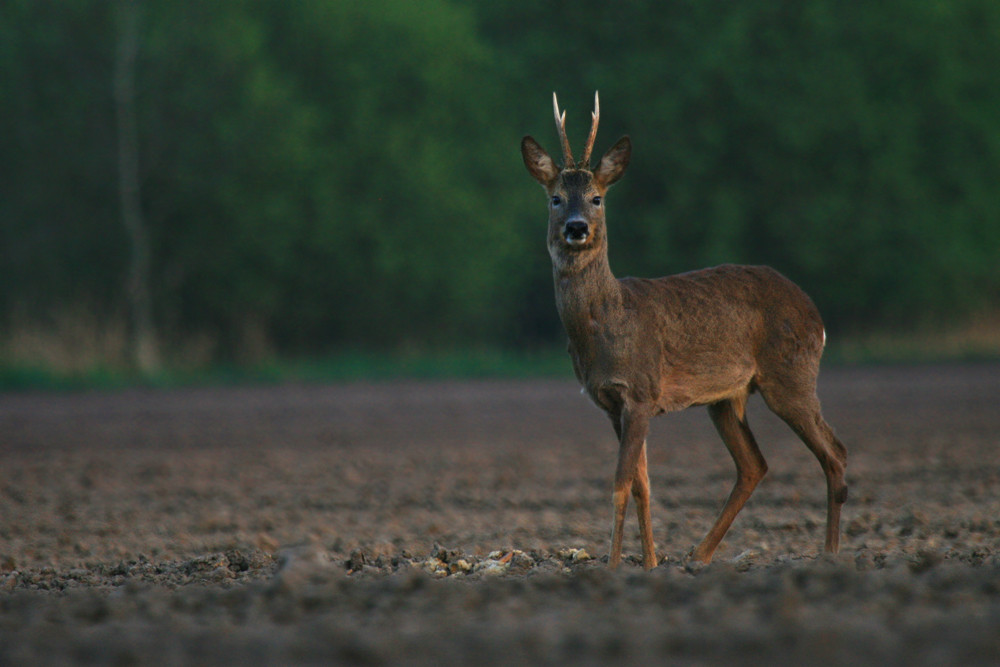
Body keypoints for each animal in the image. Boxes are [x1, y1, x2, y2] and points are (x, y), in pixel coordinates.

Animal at [520, 91, 848, 568]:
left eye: (597, 198)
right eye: (556, 198)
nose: (576, 228)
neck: (606, 325)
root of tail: (815, 314)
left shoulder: (640, 391)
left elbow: (621, 485)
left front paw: (613, 565)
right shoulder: (611, 403)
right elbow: (643, 485)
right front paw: (651, 563)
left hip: (791, 375)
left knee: (834, 452)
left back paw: (830, 553)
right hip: (727, 398)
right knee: (754, 464)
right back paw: (699, 553)